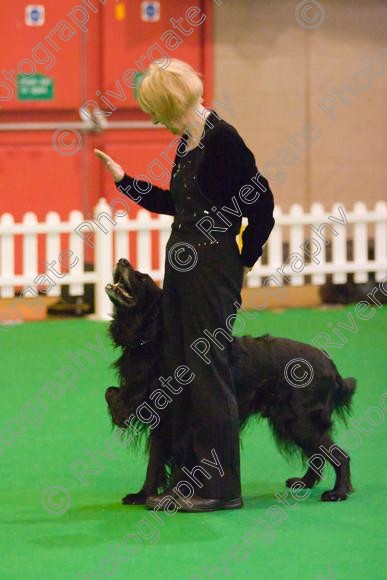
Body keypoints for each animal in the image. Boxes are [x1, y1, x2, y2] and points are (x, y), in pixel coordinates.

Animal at [104, 258, 358, 502]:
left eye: (142, 277)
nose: (122, 260)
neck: (153, 339)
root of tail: (331, 367)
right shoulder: (160, 418)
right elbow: (153, 459)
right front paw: (142, 495)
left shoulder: (177, 418)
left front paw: (171, 495)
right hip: (289, 422)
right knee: (317, 455)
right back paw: (305, 482)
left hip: (301, 421)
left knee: (339, 456)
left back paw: (338, 493)